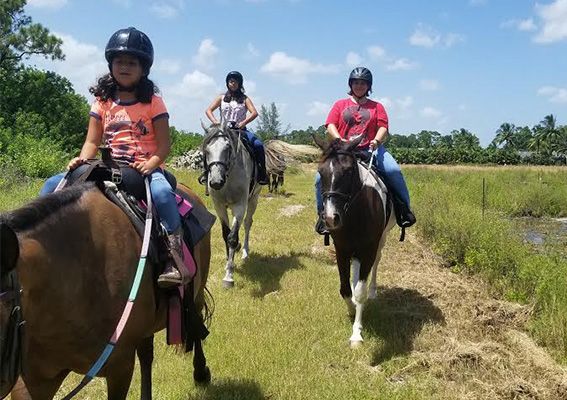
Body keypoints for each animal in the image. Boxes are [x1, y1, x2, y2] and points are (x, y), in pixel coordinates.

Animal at [316, 135, 394, 346]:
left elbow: (360, 292)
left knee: (376, 264)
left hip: (381, 241)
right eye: (320, 171)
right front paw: (351, 310)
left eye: (349, 171)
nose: (330, 218)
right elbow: (345, 290)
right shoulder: (342, 249)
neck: (355, 213)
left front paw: (356, 333)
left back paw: (373, 291)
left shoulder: (369, 249)